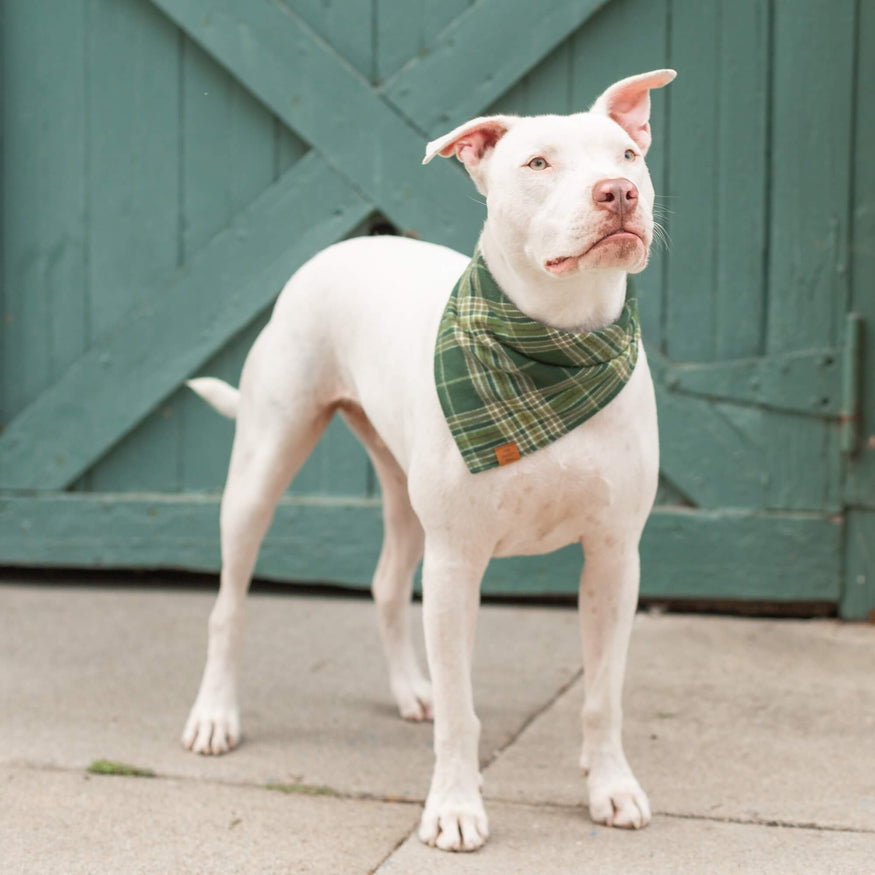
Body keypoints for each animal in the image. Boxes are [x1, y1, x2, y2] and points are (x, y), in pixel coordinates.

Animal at [183, 72, 676, 852]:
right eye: (537, 163)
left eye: (627, 156)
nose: (618, 193)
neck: (556, 350)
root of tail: (350, 247)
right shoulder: (456, 562)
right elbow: (460, 706)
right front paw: (453, 806)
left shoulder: (613, 557)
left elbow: (602, 695)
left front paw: (611, 786)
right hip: (262, 467)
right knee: (228, 605)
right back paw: (215, 717)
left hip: (401, 489)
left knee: (386, 583)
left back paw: (409, 689)